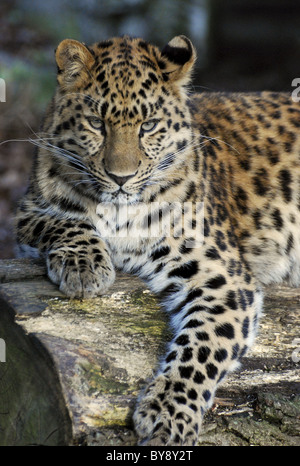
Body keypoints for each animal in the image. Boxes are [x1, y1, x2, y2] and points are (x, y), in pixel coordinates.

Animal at [15, 35, 300, 444]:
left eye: (148, 126)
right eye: (96, 123)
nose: (120, 178)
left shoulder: (224, 278)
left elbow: (203, 347)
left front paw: (168, 414)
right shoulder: (29, 212)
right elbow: (64, 221)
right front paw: (85, 268)